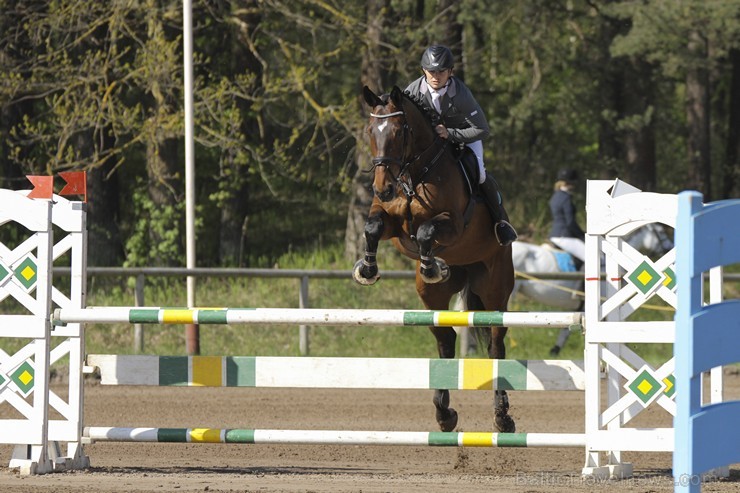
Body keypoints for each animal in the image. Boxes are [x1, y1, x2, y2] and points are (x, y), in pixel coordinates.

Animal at [352, 86, 516, 432]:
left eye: (399, 132)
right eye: (371, 131)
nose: (382, 188)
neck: (414, 172)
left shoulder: (452, 225)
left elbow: (427, 231)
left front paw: (430, 265)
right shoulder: (391, 223)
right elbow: (372, 227)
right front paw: (368, 269)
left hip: (495, 288)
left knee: (496, 344)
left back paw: (502, 416)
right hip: (432, 297)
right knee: (445, 339)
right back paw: (445, 413)